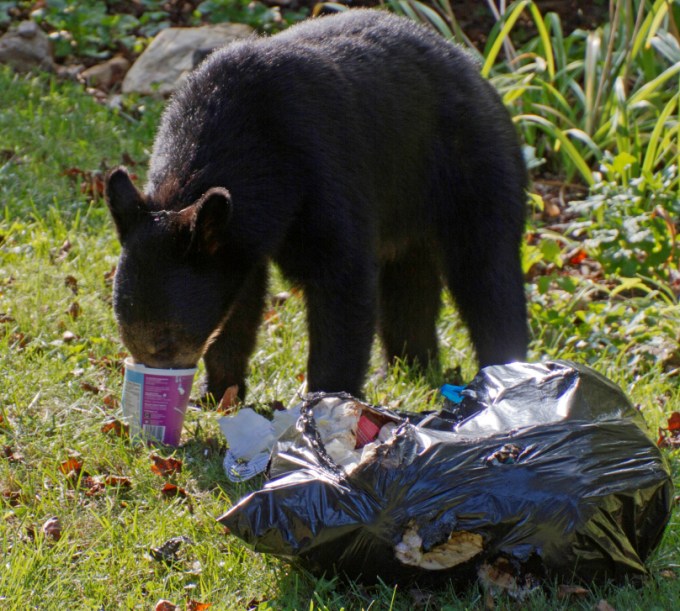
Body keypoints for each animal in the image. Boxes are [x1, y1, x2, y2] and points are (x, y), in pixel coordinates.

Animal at [105, 9, 529, 401]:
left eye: (165, 340)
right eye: (127, 336)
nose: (156, 385)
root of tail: (476, 70)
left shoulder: (322, 172)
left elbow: (343, 281)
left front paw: (327, 399)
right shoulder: (239, 236)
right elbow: (240, 303)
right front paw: (219, 393)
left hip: (471, 167)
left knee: (487, 272)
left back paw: (504, 373)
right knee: (409, 285)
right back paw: (407, 369)